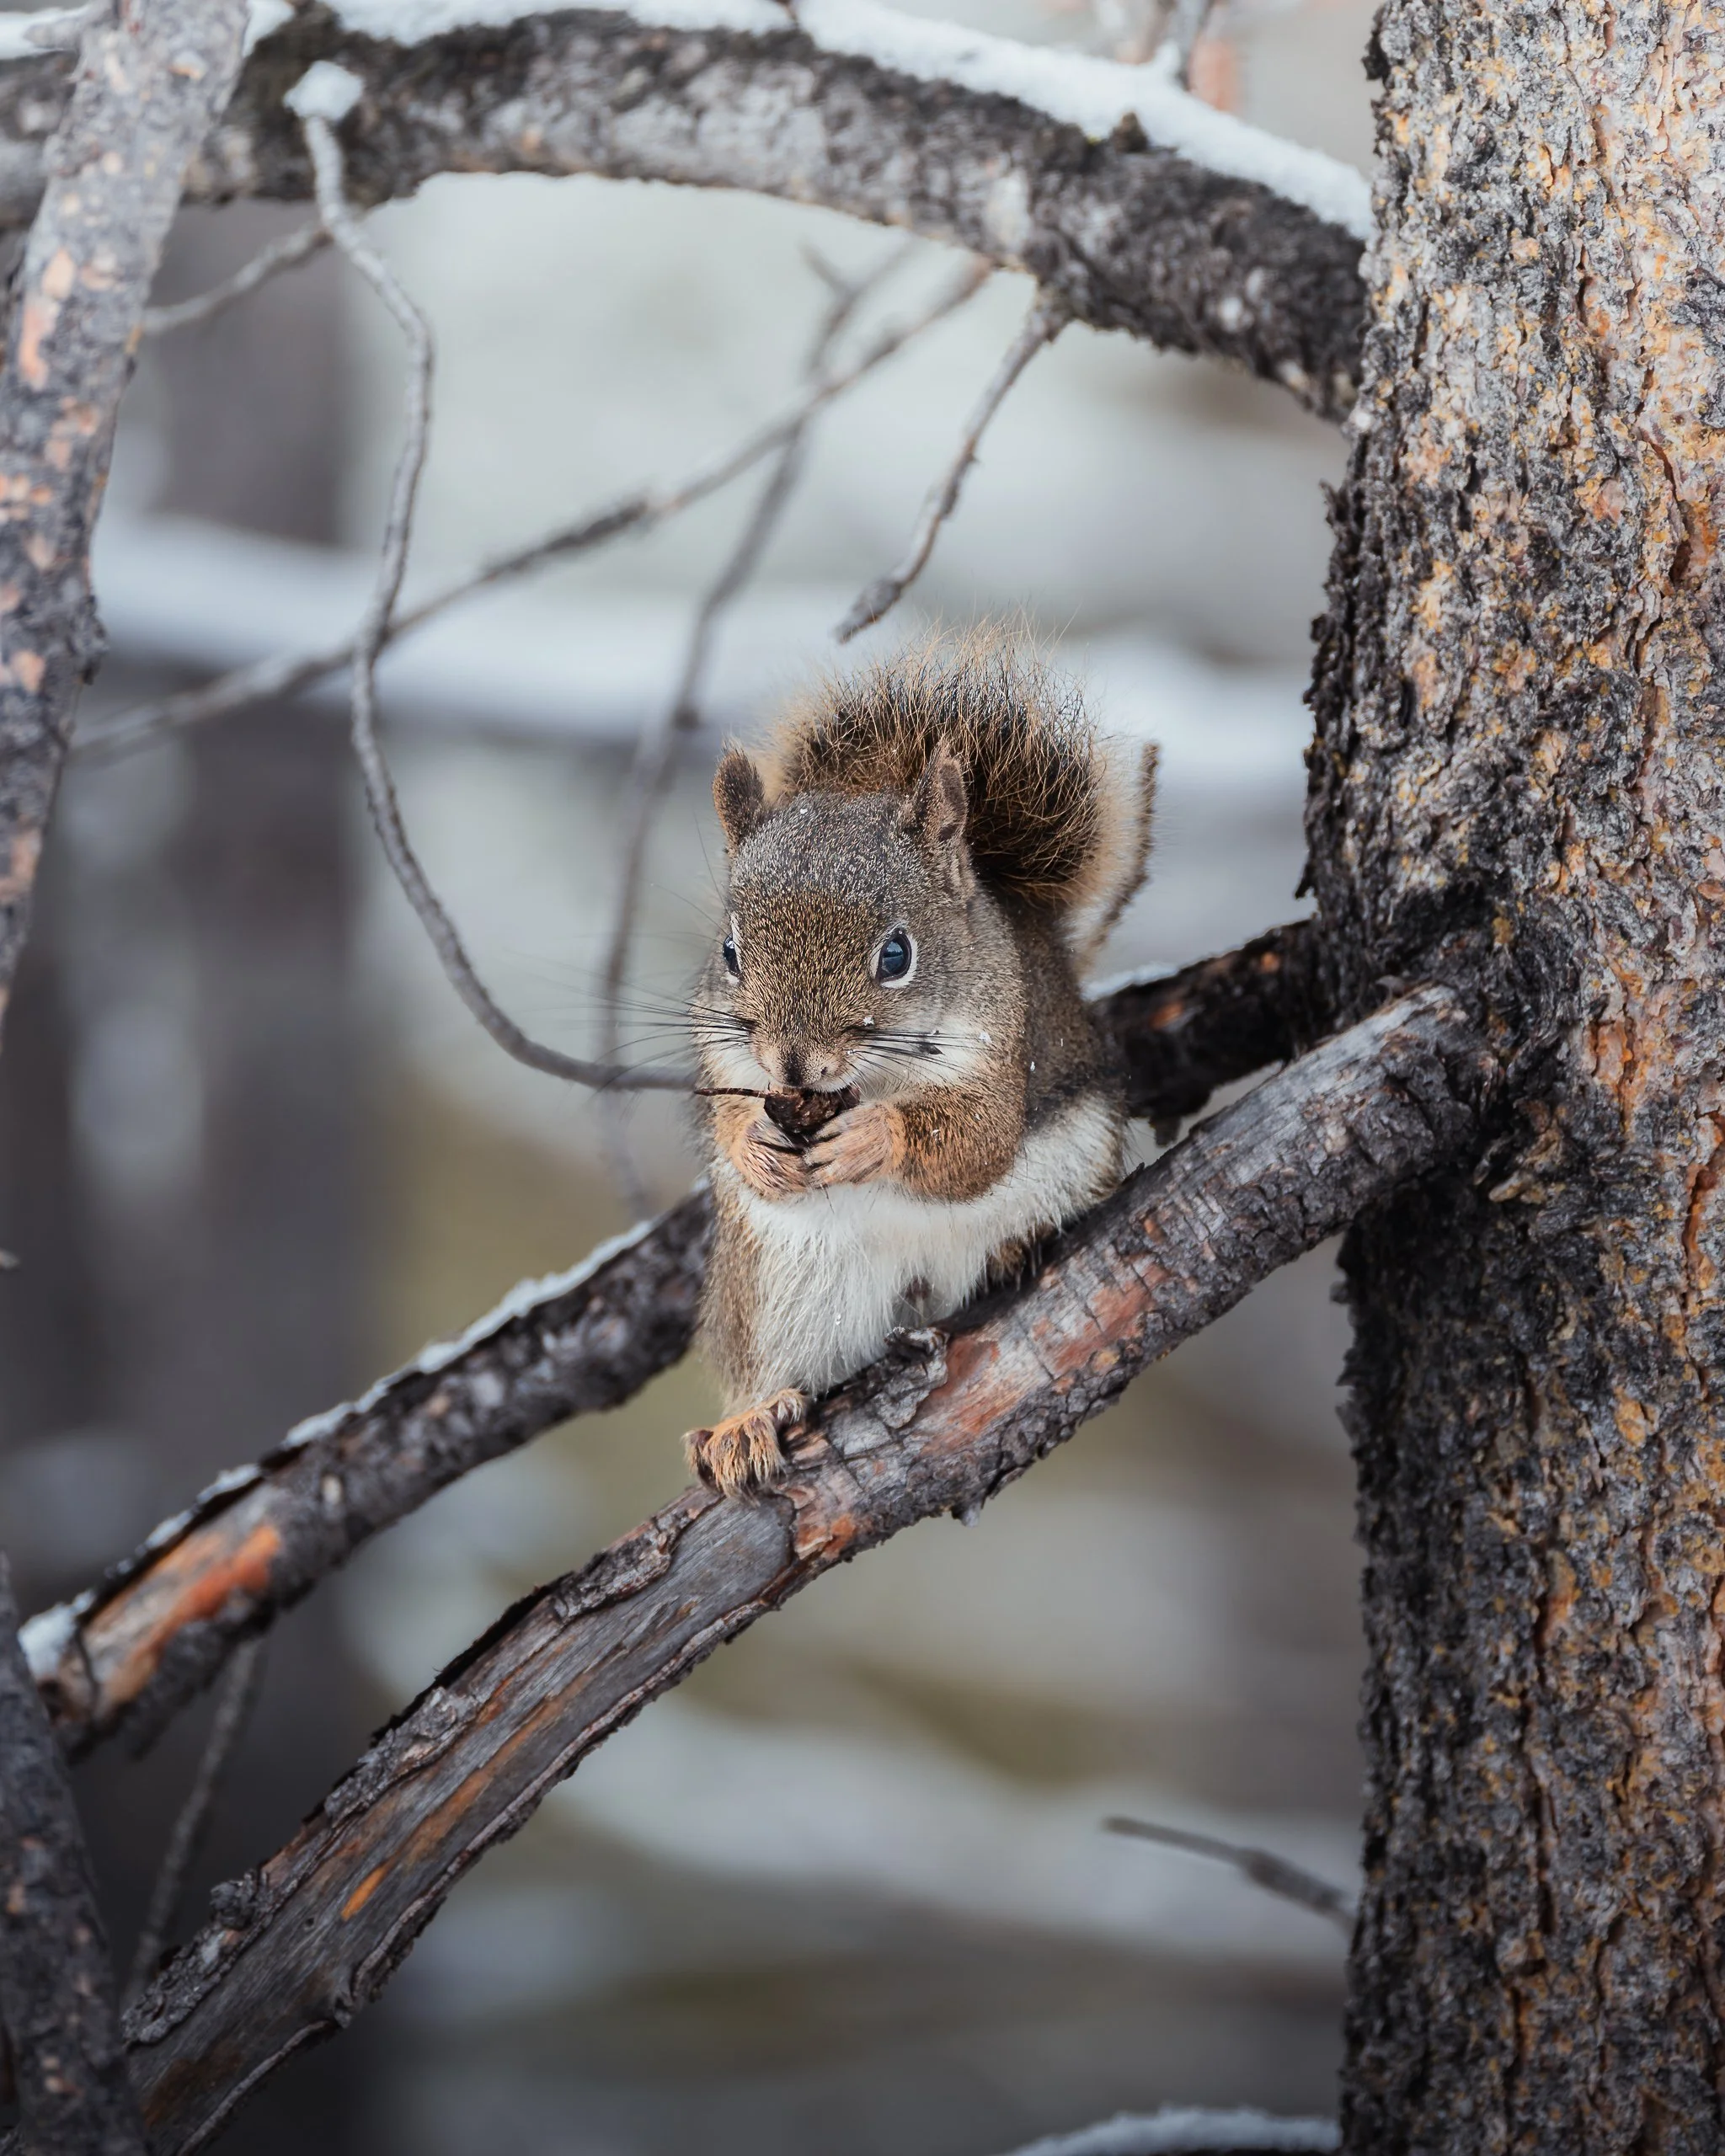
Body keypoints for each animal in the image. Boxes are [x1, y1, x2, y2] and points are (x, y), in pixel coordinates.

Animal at [683, 637, 1157, 1499]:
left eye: (897, 955)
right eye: (730, 952)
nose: (794, 1062)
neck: (864, 1083)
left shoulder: (1002, 1049)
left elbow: (976, 1144)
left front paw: (876, 1140)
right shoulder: (724, 1052)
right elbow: (728, 1113)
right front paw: (753, 1148)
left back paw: (1014, 1248)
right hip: (772, 1291)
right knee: (773, 1367)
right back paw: (750, 1419)